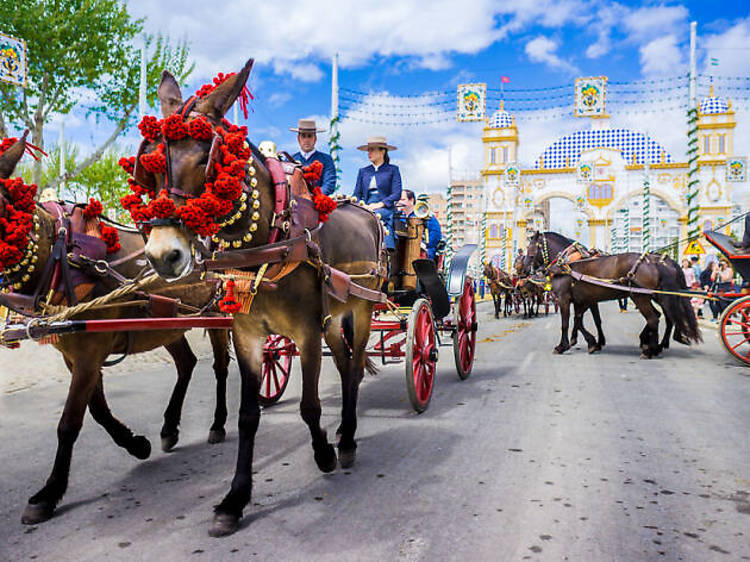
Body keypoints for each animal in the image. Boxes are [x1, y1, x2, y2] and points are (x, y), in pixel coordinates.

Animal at [0, 132, 232, 524]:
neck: (63, 257)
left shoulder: (90, 352)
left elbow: (69, 422)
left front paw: (49, 492)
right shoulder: (76, 354)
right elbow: (97, 411)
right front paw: (136, 444)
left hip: (216, 314)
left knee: (220, 367)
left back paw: (218, 423)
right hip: (165, 321)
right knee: (186, 363)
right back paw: (169, 427)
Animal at [136, 61, 388, 532]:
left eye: (205, 160)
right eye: (152, 166)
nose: (163, 255)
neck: (264, 242)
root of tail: (366, 211)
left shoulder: (306, 333)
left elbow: (309, 406)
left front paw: (324, 453)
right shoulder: (249, 335)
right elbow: (249, 415)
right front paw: (235, 498)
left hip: (362, 307)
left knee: (354, 367)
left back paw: (345, 439)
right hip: (333, 317)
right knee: (346, 362)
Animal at [524, 231, 704, 354]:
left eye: (530, 249)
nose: (525, 269)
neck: (567, 263)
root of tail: (654, 261)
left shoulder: (564, 299)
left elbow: (566, 323)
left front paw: (563, 345)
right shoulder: (585, 299)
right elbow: (583, 320)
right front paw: (593, 342)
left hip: (640, 297)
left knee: (655, 318)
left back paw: (650, 349)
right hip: (653, 296)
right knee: (665, 317)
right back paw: (656, 344)